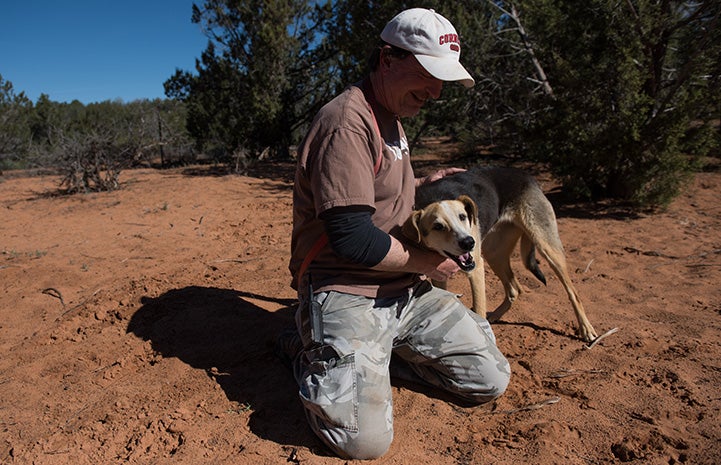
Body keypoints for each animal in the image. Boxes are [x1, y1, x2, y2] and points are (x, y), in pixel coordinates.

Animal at [402, 166, 600, 340]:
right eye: (438, 226)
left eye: (462, 217)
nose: (469, 242)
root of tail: (526, 175)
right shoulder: (440, 274)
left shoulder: (475, 269)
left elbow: (479, 308)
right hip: (494, 253)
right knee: (515, 289)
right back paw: (496, 315)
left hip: (547, 247)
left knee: (572, 292)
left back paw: (587, 330)